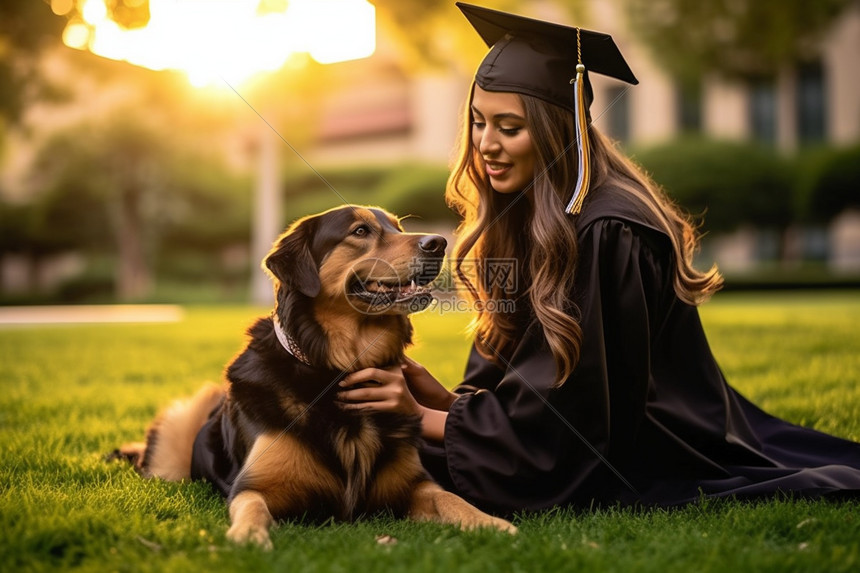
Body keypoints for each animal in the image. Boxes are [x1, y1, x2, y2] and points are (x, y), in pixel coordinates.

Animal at [117, 207, 512, 548]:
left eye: (398, 227)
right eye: (361, 231)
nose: (439, 243)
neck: (335, 370)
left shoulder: (415, 484)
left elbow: (449, 497)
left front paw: (491, 523)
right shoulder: (254, 486)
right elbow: (251, 506)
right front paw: (248, 536)